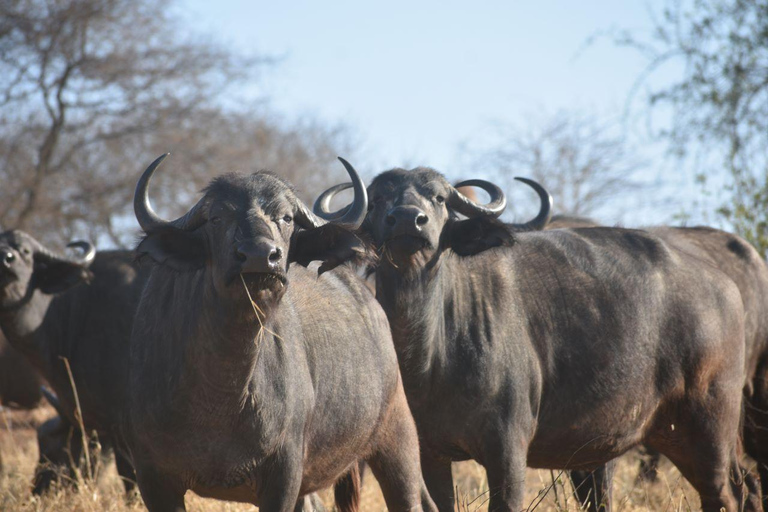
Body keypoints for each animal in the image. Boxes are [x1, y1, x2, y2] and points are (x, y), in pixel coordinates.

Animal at [126, 155, 438, 512]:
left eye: (286, 217)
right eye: (217, 217)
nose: (260, 255)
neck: (220, 394)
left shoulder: (284, 472)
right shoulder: (152, 476)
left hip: (398, 438)